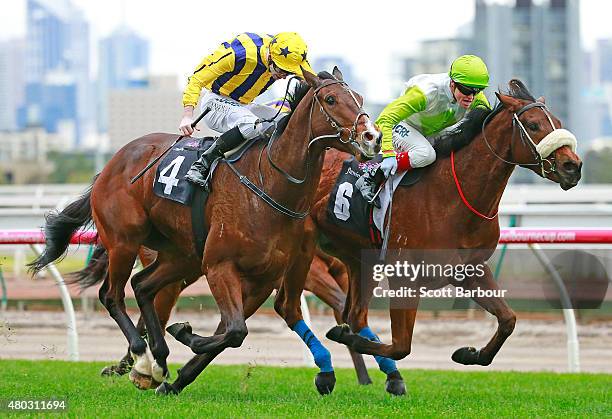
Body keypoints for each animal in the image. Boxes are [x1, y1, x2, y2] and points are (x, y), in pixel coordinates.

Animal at [29, 69, 382, 398]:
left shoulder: (264, 279)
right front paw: (184, 335)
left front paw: (176, 377)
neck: (269, 185)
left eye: (360, 98)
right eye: (331, 100)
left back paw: (157, 360)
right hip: (125, 242)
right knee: (112, 295)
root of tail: (112, 162)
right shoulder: (220, 266)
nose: (372, 137)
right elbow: (236, 331)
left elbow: (231, 333)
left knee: (143, 286)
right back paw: (142, 359)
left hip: (181, 256)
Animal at [310, 79, 584, 384]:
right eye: (534, 125)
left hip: (359, 261)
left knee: (354, 312)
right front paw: (345, 336)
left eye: (558, 122)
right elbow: (401, 346)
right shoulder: (405, 275)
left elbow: (508, 320)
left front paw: (469, 354)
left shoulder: (470, 269)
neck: (454, 194)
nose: (572, 166)